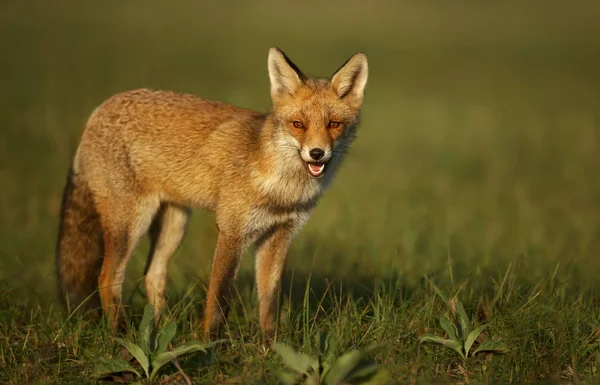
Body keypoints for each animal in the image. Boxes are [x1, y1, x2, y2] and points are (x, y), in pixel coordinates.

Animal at [56, 47, 368, 340]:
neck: (282, 190)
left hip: (173, 226)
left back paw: (158, 330)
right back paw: (121, 333)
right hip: (131, 224)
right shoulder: (231, 233)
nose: (317, 153)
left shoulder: (278, 236)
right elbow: (218, 301)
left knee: (152, 275)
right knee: (107, 277)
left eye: (333, 124)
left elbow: (269, 302)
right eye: (298, 125)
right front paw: (208, 347)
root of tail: (100, 109)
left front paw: (270, 347)